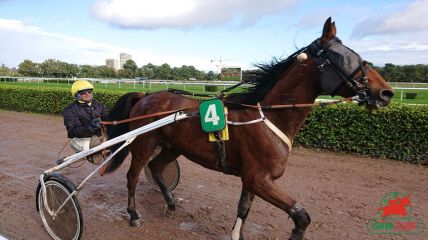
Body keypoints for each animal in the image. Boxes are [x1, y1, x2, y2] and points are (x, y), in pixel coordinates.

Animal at [105, 18, 392, 240]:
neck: (269, 117)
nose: (386, 92)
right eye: (344, 57)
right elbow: (301, 216)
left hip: (175, 147)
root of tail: (145, 95)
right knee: (132, 175)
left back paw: (171, 203)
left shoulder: (253, 177)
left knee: (155, 167)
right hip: (143, 143)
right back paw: (133, 214)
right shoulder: (259, 179)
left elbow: (243, 209)